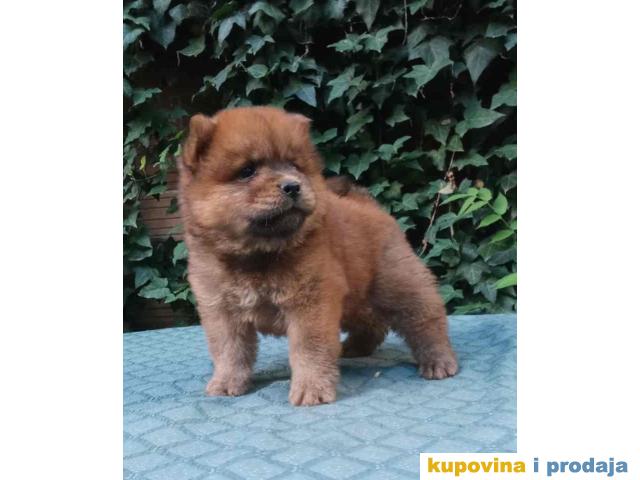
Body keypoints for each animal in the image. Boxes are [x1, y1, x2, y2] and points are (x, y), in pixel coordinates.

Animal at [178, 106, 458, 406]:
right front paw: (226, 383)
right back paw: (354, 348)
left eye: (294, 166)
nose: (292, 186)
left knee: (426, 318)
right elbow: (230, 352)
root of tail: (367, 204)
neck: (257, 254)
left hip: (397, 284)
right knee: (373, 323)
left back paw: (438, 361)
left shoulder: (311, 304)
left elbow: (309, 349)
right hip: (354, 298)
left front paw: (311, 389)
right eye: (247, 171)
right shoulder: (222, 311)